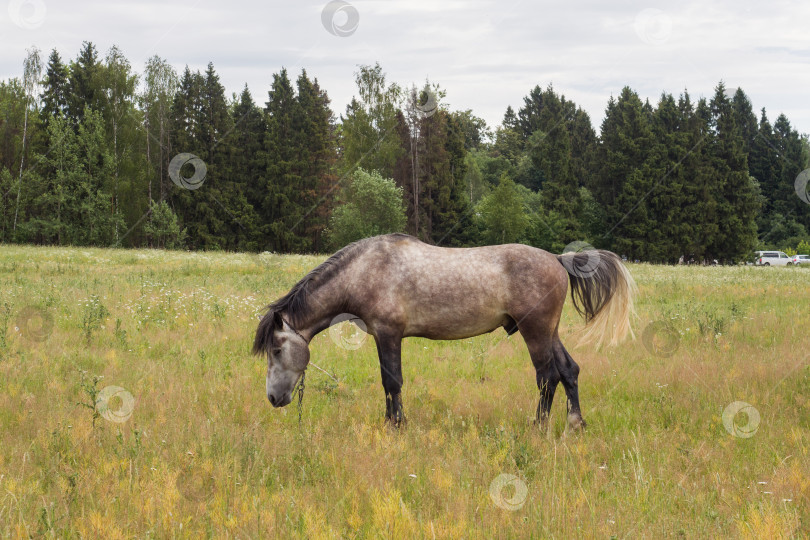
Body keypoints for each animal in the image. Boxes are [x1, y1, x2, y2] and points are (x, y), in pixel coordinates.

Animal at [249, 232, 636, 430]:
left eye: (277, 350)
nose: (272, 398)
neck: (365, 270)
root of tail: (557, 259)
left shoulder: (388, 334)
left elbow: (392, 381)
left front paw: (396, 425)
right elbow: (388, 383)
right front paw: (391, 422)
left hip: (535, 331)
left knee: (547, 376)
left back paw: (538, 428)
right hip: (549, 332)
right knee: (569, 370)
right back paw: (575, 424)